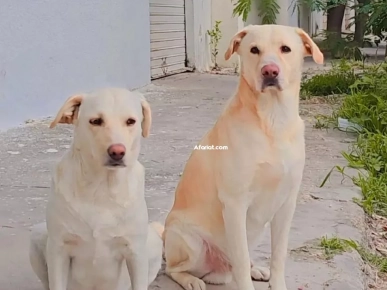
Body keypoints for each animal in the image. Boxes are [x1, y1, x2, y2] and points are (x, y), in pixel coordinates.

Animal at [28, 88, 164, 290]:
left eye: (130, 121)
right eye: (96, 121)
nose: (117, 152)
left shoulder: (136, 252)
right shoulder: (58, 249)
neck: (101, 188)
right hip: (37, 235)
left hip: (152, 242)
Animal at [161, 24, 324, 290]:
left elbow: (278, 256)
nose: (270, 71)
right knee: (173, 269)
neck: (273, 120)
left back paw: (255, 269)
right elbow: (240, 258)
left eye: (285, 49)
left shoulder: (287, 203)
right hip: (189, 242)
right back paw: (191, 280)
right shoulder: (235, 204)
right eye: (254, 50)